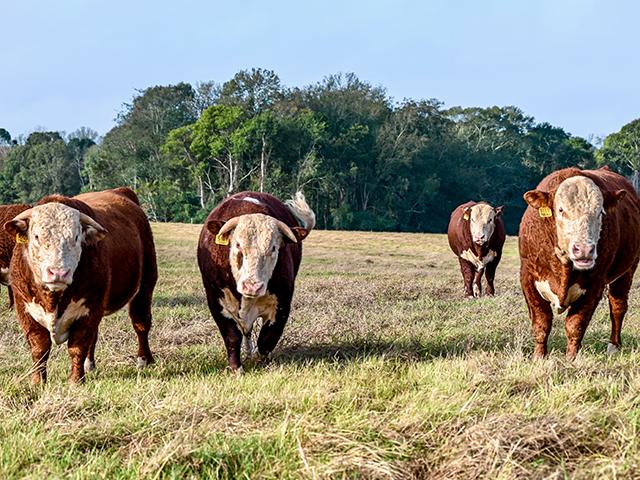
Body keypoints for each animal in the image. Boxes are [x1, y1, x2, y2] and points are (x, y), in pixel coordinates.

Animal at [4, 187, 157, 384]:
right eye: (36, 236)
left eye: (76, 237)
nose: (58, 272)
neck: (53, 299)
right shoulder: (25, 310)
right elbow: (39, 348)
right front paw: (38, 381)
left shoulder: (89, 310)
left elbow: (77, 346)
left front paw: (75, 381)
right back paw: (89, 364)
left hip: (146, 284)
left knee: (141, 323)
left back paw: (144, 359)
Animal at [197, 191, 315, 373]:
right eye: (238, 244)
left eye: (273, 248)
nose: (252, 286)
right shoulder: (217, 302)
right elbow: (232, 337)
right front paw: (236, 368)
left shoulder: (282, 304)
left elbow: (267, 339)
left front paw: (261, 363)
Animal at [519, 166, 640, 360]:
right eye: (561, 210)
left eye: (600, 212)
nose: (584, 250)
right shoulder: (528, 277)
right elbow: (541, 322)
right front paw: (538, 356)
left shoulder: (595, 284)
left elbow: (575, 324)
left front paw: (571, 358)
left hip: (627, 270)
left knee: (618, 307)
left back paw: (614, 346)